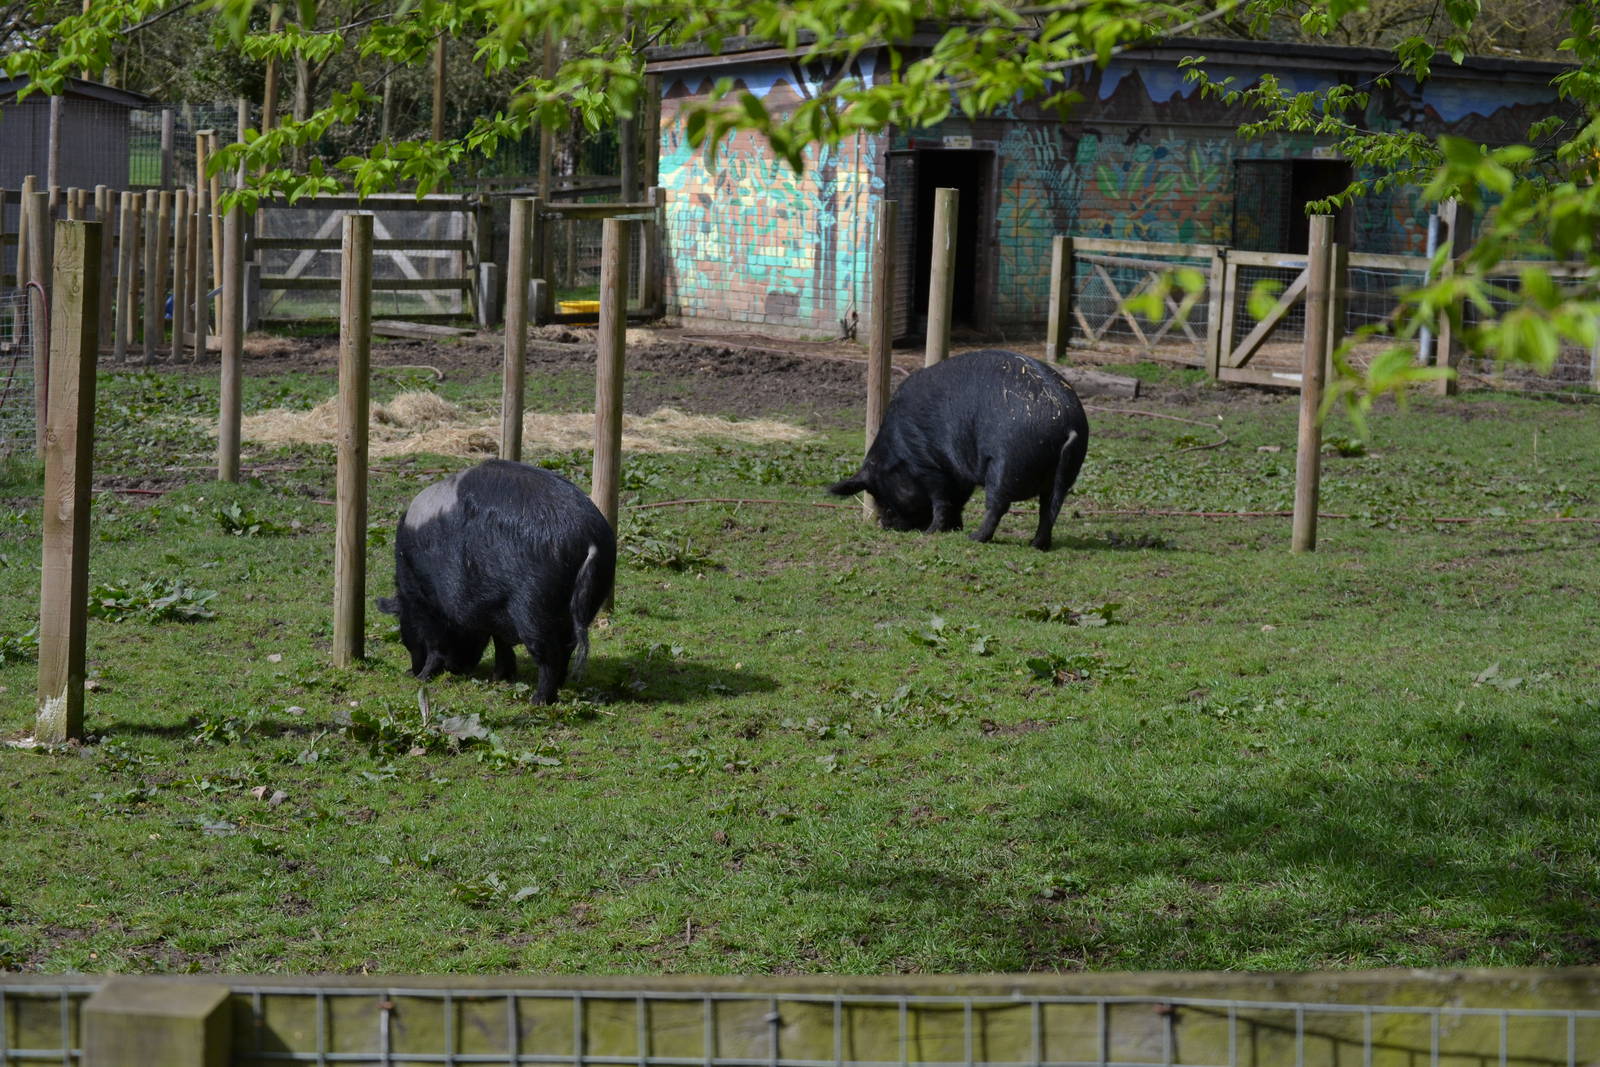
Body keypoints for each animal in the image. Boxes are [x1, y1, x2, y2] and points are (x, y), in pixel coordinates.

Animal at [376, 459, 616, 704]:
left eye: (403, 625)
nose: (411, 670)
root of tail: (588, 539)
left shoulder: (427, 601)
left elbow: (436, 644)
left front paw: (422, 678)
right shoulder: (496, 609)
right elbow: (501, 641)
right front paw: (500, 677)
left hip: (533, 606)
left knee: (549, 654)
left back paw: (538, 700)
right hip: (586, 599)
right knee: (568, 646)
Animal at [828, 349, 1089, 550]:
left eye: (880, 491)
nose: (884, 524)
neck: (897, 453)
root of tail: (1067, 426)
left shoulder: (927, 465)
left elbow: (940, 500)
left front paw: (932, 532)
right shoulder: (960, 476)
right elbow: (957, 500)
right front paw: (954, 528)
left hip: (1005, 464)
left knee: (998, 505)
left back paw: (975, 538)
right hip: (1063, 475)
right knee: (1049, 508)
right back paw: (1036, 544)